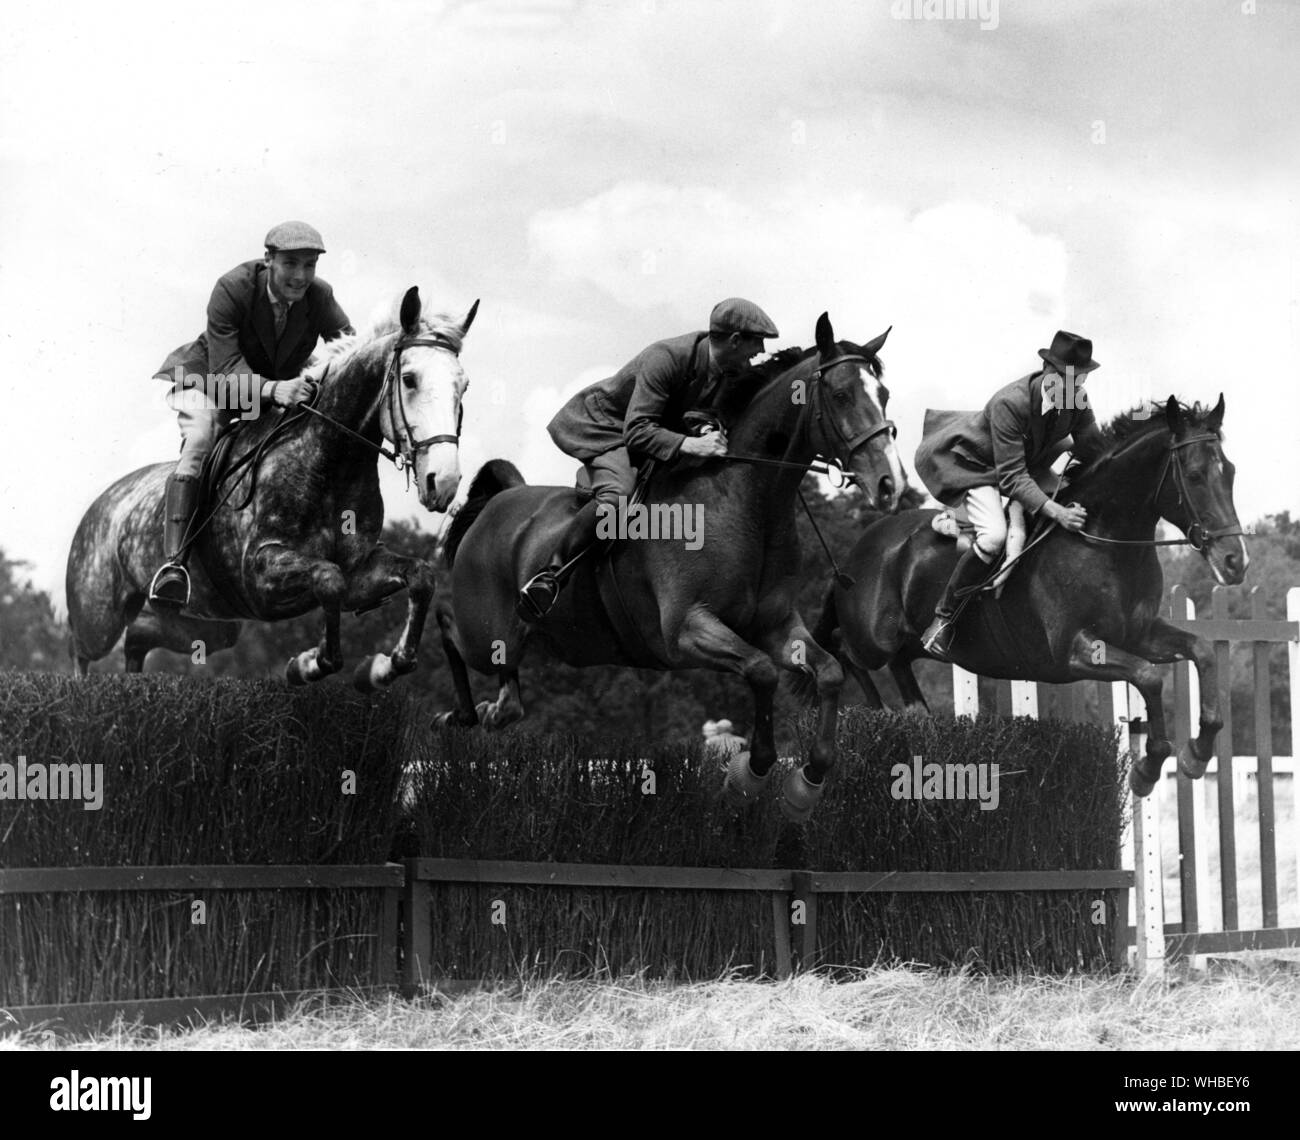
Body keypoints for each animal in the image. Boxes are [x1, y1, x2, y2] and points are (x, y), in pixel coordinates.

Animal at [64, 288, 478, 691]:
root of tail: (103, 502)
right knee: (82, 651)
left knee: (140, 636)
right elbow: (328, 578)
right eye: (409, 379)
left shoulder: (361, 570)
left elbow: (419, 576)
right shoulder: (262, 572)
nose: (443, 481)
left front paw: (377, 668)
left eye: (464, 385)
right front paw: (307, 664)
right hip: (99, 613)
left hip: (209, 621)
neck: (331, 461)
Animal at [434, 313, 904, 816]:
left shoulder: (776, 625)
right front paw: (749, 774)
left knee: (509, 695)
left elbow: (829, 672)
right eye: (841, 395)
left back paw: (491, 710)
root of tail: (497, 502)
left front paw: (806, 784)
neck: (744, 500)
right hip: (486, 631)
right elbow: (761, 672)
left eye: (885, 394)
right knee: (448, 624)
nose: (889, 484)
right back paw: (455, 711)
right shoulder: (686, 630)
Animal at [811, 395, 1248, 795]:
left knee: (897, 662)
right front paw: (1147, 768)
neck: (1105, 541)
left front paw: (1197, 753)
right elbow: (1149, 677)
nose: (1235, 561)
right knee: (842, 647)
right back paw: (877, 713)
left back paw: (916, 713)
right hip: (873, 638)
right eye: (1194, 475)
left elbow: (1202, 651)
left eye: (1230, 471)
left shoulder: (1138, 634)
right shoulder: (1073, 651)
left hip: (905, 643)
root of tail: (854, 554)